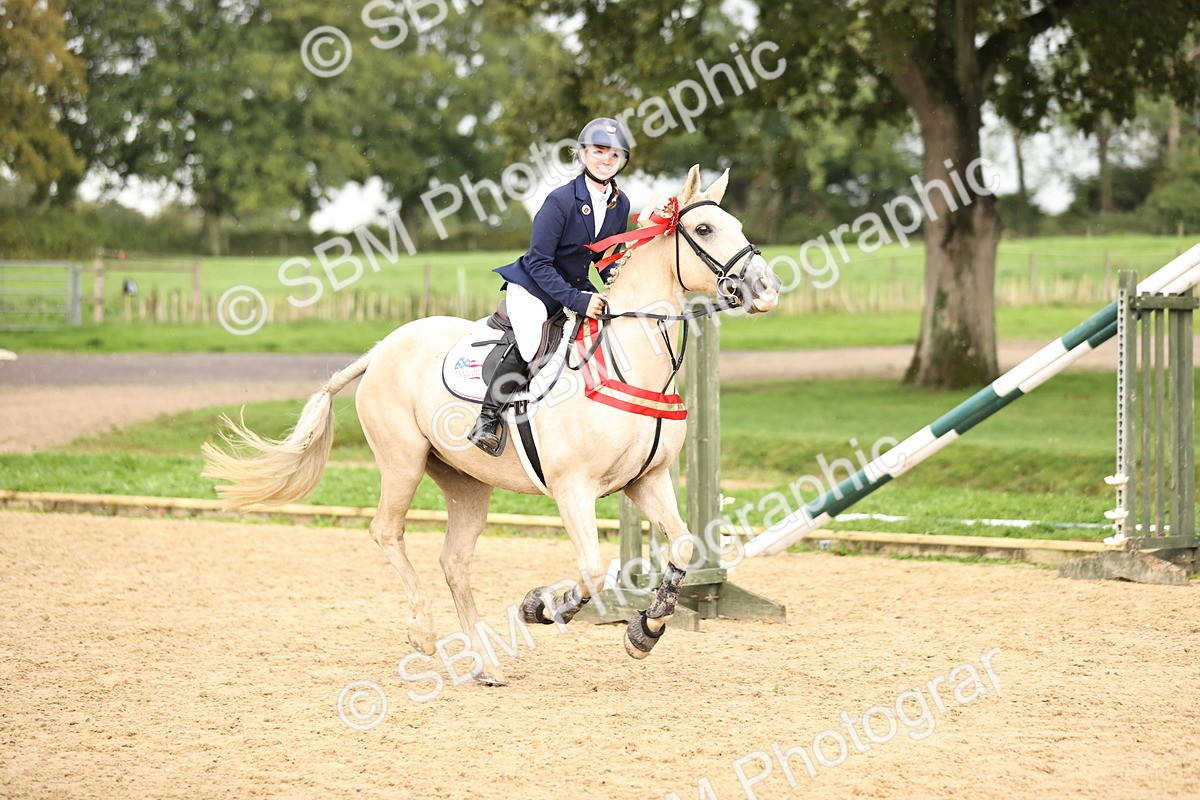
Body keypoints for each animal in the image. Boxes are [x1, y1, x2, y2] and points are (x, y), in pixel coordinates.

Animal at [202, 166, 782, 685]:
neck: (629, 358)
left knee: (455, 562)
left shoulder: (647, 481)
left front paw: (647, 630)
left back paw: (484, 663)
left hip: (466, 483)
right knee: (387, 531)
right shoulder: (573, 489)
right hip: (402, 461)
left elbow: (682, 546)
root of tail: (381, 350)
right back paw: (424, 633)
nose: (768, 288)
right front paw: (544, 606)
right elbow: (594, 569)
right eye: (703, 229)